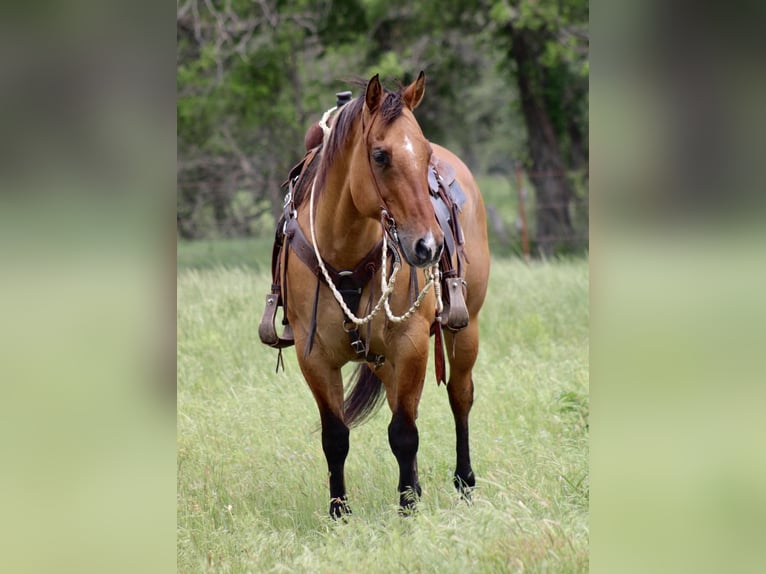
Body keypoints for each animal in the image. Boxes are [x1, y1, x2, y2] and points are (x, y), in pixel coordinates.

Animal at [262, 72, 492, 516]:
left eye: (424, 153)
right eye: (380, 155)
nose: (429, 247)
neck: (347, 256)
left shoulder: (411, 345)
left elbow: (404, 433)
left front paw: (408, 509)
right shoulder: (314, 357)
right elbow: (335, 437)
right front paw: (339, 512)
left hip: (464, 329)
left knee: (460, 396)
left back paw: (464, 483)